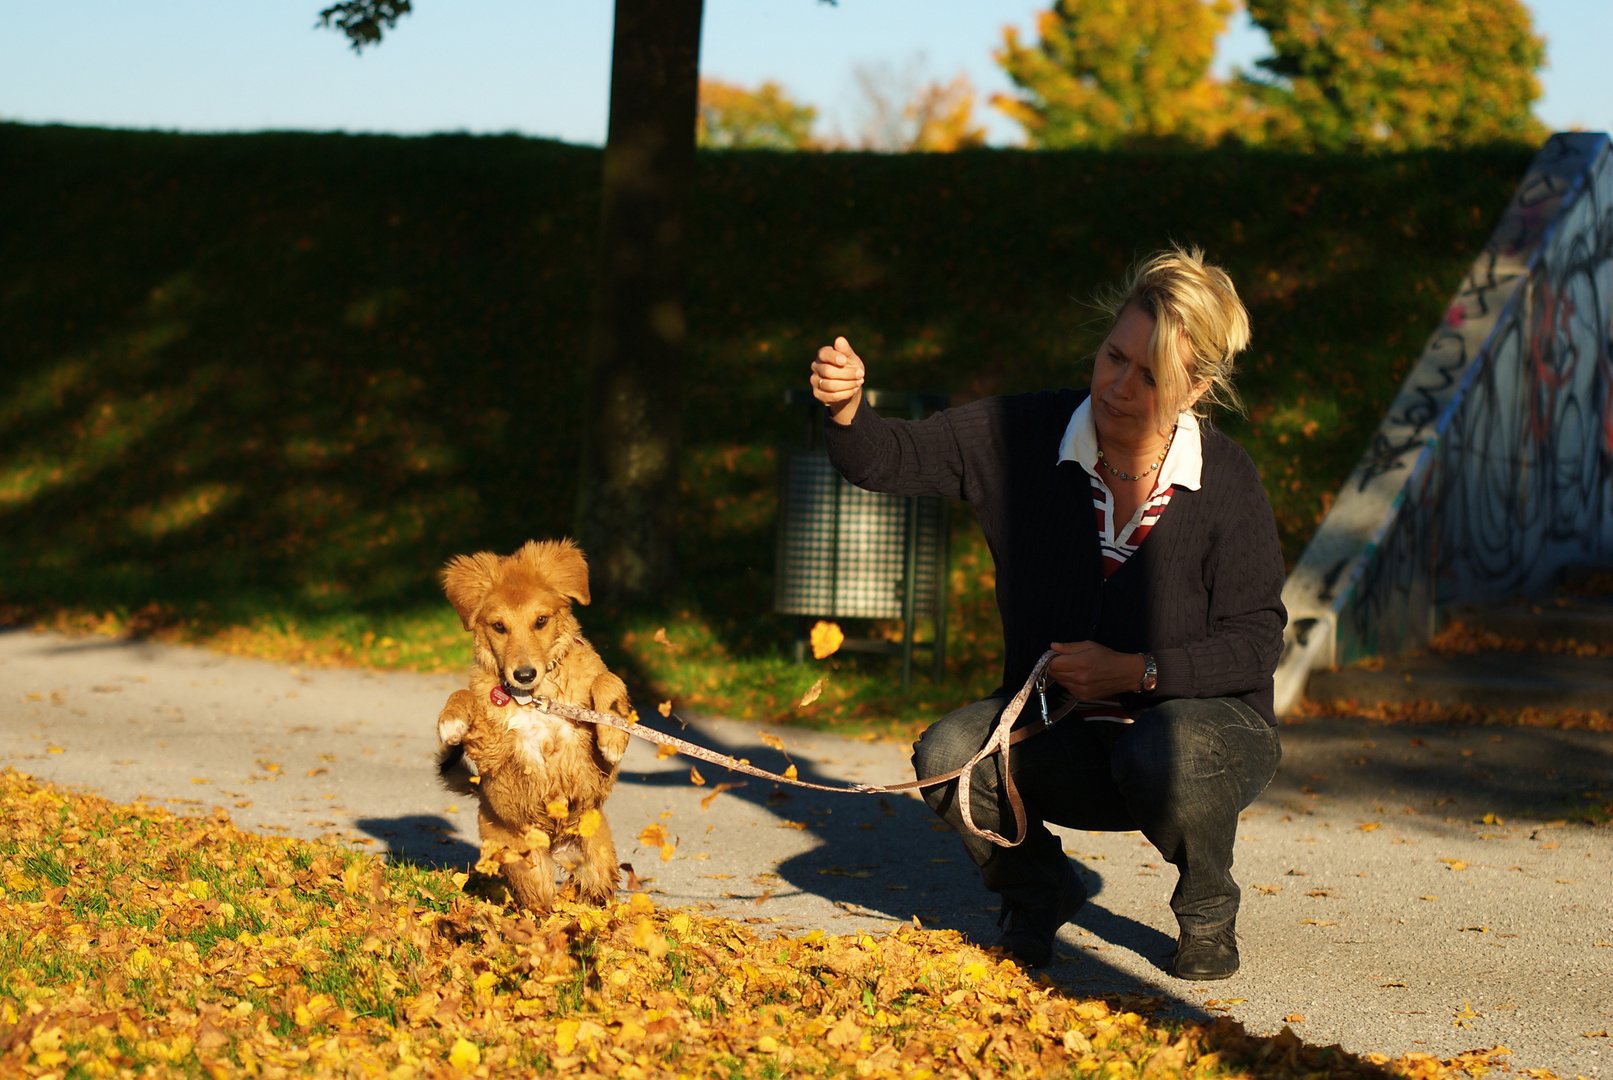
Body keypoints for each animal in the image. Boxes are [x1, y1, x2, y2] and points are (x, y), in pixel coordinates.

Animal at [435, 541, 635, 915]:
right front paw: (450, 720)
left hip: (596, 857)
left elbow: (607, 680)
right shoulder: (495, 752)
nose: (524, 675)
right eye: (499, 626)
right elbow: (465, 695)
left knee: (596, 892)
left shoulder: (594, 764)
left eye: (541, 621)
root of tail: (558, 845)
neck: (537, 697)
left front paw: (614, 736)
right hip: (529, 867)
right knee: (539, 903)